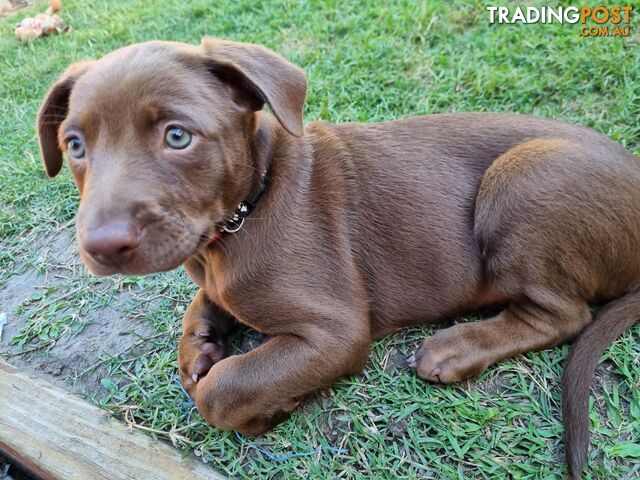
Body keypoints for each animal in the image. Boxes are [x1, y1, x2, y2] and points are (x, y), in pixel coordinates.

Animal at [37, 37, 636, 476]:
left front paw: (269, 407)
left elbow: (222, 391)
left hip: (524, 177)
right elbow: (201, 310)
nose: (102, 246)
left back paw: (456, 347)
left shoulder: (336, 331)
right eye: (75, 146)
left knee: (563, 316)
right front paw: (198, 349)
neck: (244, 212)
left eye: (178, 136)